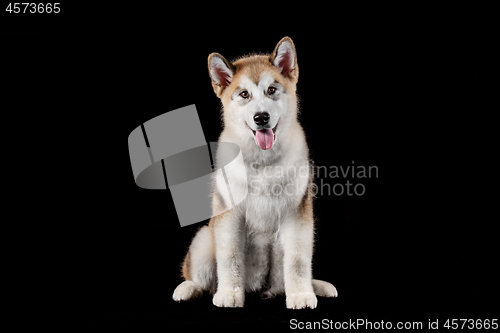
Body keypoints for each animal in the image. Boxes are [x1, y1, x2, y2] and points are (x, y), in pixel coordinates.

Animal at [173, 37, 340, 308]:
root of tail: (260, 289)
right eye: (244, 94)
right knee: (200, 276)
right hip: (203, 240)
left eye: (271, 90)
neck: (263, 163)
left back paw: (314, 286)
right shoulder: (228, 216)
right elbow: (230, 256)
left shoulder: (297, 214)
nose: (261, 117)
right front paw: (230, 293)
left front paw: (301, 294)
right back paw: (188, 288)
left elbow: (298, 260)